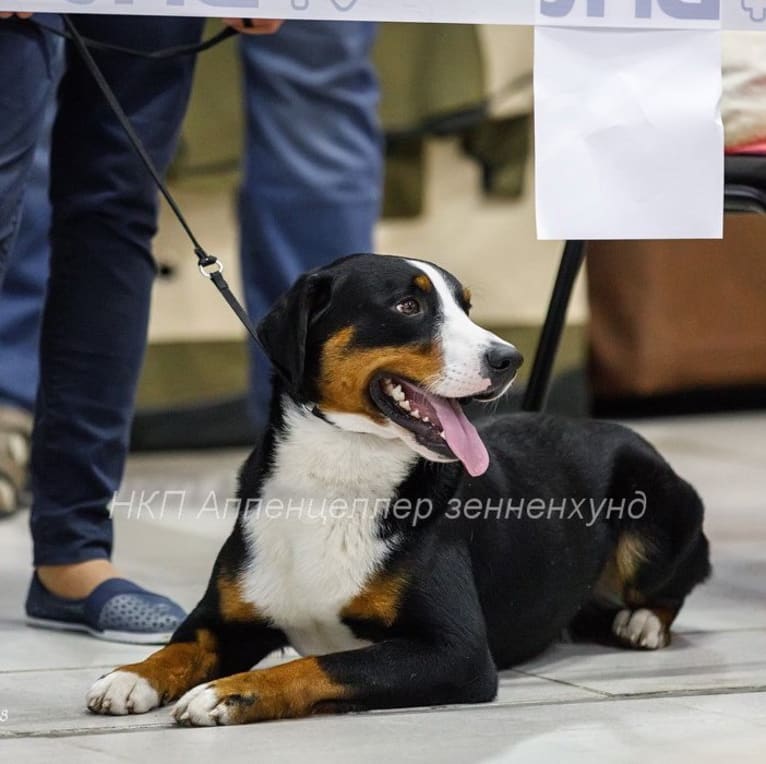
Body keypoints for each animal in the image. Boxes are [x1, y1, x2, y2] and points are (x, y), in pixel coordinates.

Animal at [85, 254, 712, 724]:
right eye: (408, 306)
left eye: (466, 307)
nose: (509, 358)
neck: (335, 479)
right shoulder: (225, 619)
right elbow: (180, 647)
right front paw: (130, 677)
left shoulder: (455, 653)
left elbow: (319, 666)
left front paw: (230, 692)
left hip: (657, 513)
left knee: (673, 585)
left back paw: (641, 623)